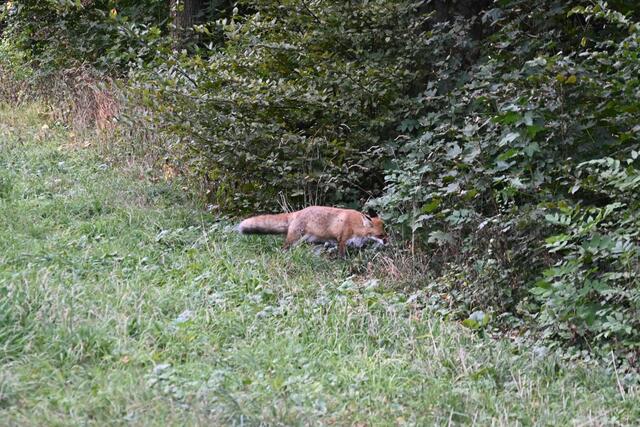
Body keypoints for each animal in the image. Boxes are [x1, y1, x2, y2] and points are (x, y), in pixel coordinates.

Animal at [238, 206, 387, 257]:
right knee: (283, 248)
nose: (387, 242)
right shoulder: (342, 240)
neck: (355, 225)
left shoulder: (356, 243)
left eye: (386, 233)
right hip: (294, 239)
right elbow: (342, 256)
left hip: (309, 241)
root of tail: (298, 212)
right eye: (380, 235)